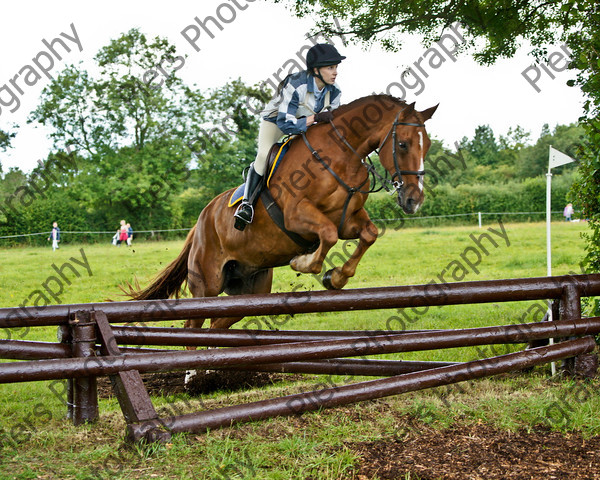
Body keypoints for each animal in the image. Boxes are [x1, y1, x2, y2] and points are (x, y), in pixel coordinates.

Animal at [130, 95, 436, 332]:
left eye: (428, 145)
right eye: (403, 144)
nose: (414, 200)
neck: (341, 154)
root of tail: (200, 221)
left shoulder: (348, 219)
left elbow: (368, 234)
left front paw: (336, 277)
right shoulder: (296, 215)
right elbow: (327, 235)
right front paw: (303, 263)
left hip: (251, 288)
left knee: (218, 324)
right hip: (207, 284)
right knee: (192, 326)